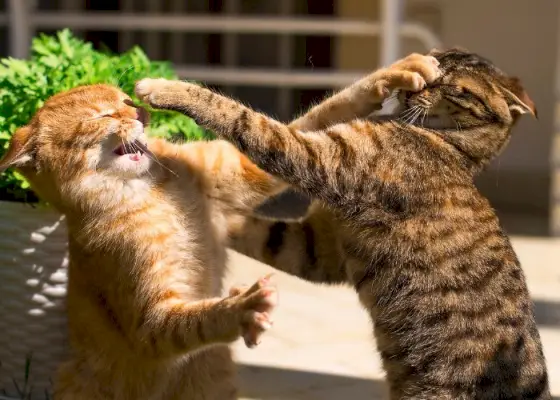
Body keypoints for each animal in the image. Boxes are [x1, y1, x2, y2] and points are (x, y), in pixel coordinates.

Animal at [0, 83, 286, 396]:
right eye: (102, 115)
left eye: (126, 100)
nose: (140, 112)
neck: (151, 188)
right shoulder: (152, 322)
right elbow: (199, 320)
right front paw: (242, 308)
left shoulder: (244, 170)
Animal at [137, 48, 552, 398]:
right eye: (434, 64)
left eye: (450, 86)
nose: (418, 88)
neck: (451, 148)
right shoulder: (317, 247)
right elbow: (255, 230)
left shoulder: (317, 159)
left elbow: (242, 117)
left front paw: (164, 88)